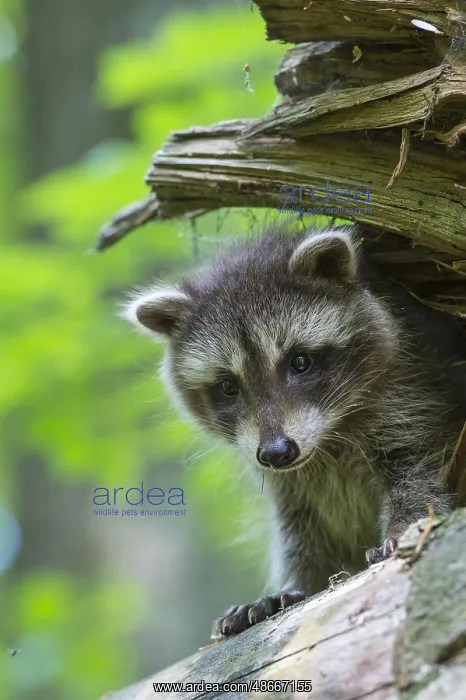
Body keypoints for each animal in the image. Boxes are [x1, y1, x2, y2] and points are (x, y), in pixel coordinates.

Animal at [124, 226, 465, 637]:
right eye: (227, 386)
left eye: (299, 362)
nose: (276, 453)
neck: (329, 436)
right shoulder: (286, 478)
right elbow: (302, 528)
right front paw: (299, 584)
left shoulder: (415, 396)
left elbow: (417, 472)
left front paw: (405, 527)